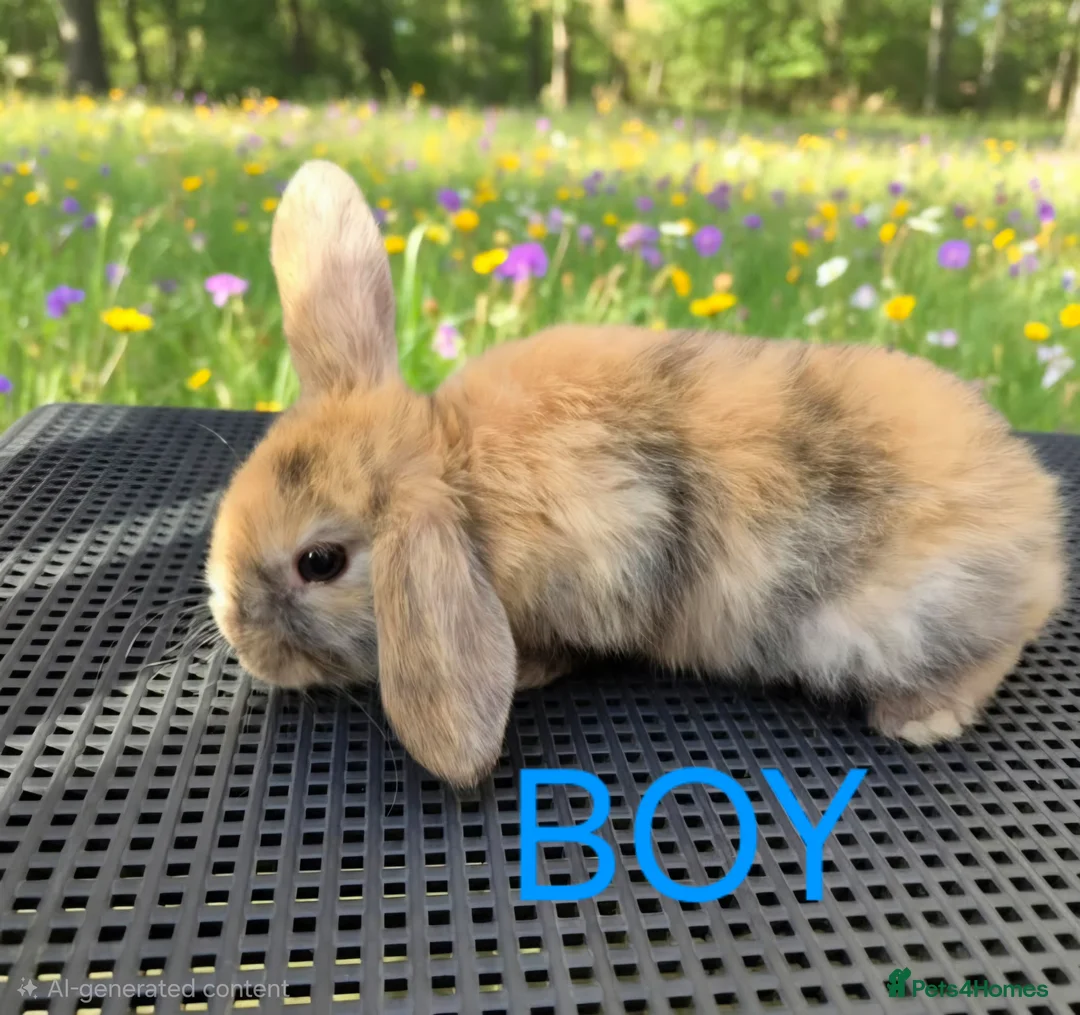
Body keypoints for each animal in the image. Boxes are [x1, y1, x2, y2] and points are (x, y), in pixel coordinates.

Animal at [206, 159, 1066, 788]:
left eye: (320, 562)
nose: (240, 640)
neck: (453, 471)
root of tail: (1041, 529)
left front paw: (529, 674)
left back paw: (921, 717)